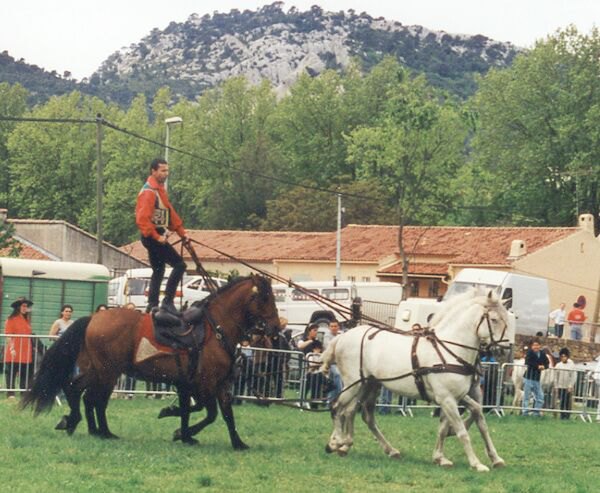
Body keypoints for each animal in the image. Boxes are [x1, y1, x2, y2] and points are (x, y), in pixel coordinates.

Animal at [21, 274, 278, 448]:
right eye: (265, 297)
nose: (275, 327)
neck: (216, 329)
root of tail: (93, 318)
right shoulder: (205, 384)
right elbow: (210, 413)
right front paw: (180, 429)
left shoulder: (212, 385)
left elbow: (221, 413)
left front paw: (236, 442)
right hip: (108, 372)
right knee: (96, 399)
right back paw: (102, 431)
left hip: (96, 369)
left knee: (78, 391)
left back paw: (78, 424)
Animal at [322, 290, 512, 470]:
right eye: (494, 319)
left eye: (507, 319)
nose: (506, 349)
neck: (451, 351)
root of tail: (342, 337)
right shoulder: (447, 399)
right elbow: (462, 432)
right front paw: (476, 463)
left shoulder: (453, 398)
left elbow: (456, 424)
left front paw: (442, 458)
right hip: (353, 384)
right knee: (337, 407)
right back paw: (336, 442)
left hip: (369, 385)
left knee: (357, 413)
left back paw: (380, 449)